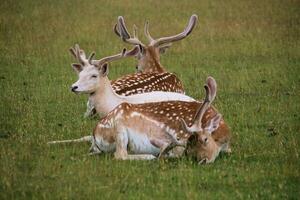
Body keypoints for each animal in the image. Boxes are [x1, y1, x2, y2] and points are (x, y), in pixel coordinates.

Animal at [50, 76, 231, 164]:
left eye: (205, 140)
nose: (202, 160)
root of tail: (96, 133)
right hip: (119, 128)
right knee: (120, 155)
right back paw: (148, 157)